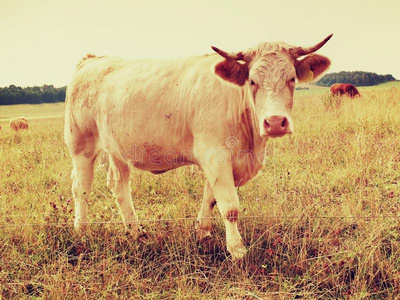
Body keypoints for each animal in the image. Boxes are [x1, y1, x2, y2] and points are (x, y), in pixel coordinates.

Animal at [64, 33, 332, 258]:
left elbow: (210, 199)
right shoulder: (215, 155)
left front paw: (202, 234)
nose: (275, 122)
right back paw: (82, 231)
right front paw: (237, 251)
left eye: (292, 78)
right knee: (81, 188)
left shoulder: (221, 161)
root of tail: (92, 60)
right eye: (252, 81)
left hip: (118, 149)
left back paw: (136, 231)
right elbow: (229, 206)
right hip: (81, 145)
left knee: (119, 185)